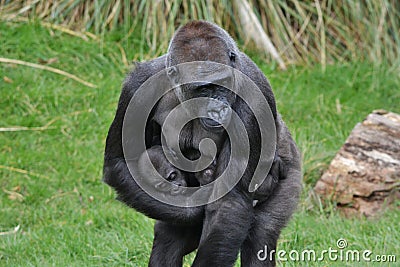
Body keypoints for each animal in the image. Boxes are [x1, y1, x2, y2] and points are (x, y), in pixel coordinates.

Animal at [103, 19, 300, 266]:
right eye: (203, 88)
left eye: (223, 83)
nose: (217, 108)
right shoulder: (137, 87)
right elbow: (120, 163)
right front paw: (194, 209)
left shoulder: (254, 98)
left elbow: (229, 202)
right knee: (168, 240)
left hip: (291, 171)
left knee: (261, 233)